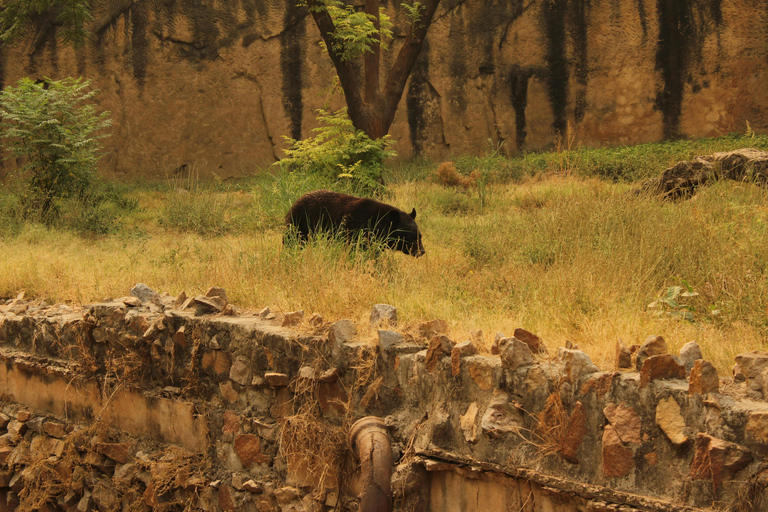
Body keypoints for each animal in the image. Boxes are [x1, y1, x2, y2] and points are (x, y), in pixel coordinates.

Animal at [284, 190, 424, 256]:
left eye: (420, 236)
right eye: (410, 237)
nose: (421, 251)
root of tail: (294, 203)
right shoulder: (358, 232)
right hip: (299, 227)